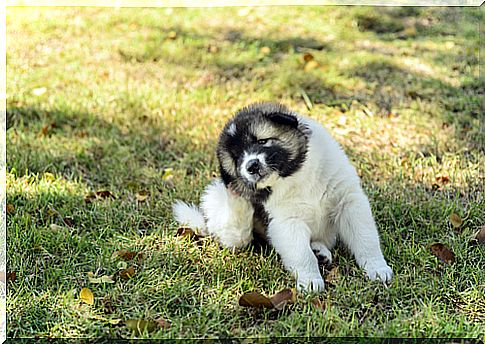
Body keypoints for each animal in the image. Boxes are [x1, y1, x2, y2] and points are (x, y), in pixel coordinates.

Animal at [172, 102, 392, 290]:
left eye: (262, 141)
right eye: (237, 159)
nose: (251, 166)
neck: (294, 175)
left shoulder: (348, 201)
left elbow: (366, 239)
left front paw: (377, 269)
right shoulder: (287, 222)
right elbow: (302, 254)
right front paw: (310, 282)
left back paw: (320, 251)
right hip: (217, 200)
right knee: (234, 231)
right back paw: (237, 197)